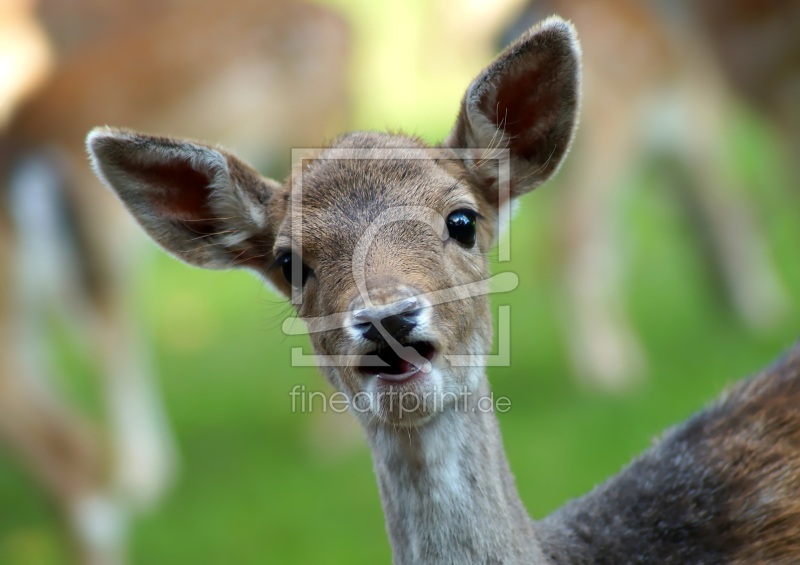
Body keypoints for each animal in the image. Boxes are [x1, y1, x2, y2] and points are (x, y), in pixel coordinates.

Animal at [504, 0, 796, 388]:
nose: (724, 308)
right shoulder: (702, 121)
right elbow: (733, 207)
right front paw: (763, 309)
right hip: (609, 134)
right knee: (571, 235)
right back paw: (606, 369)